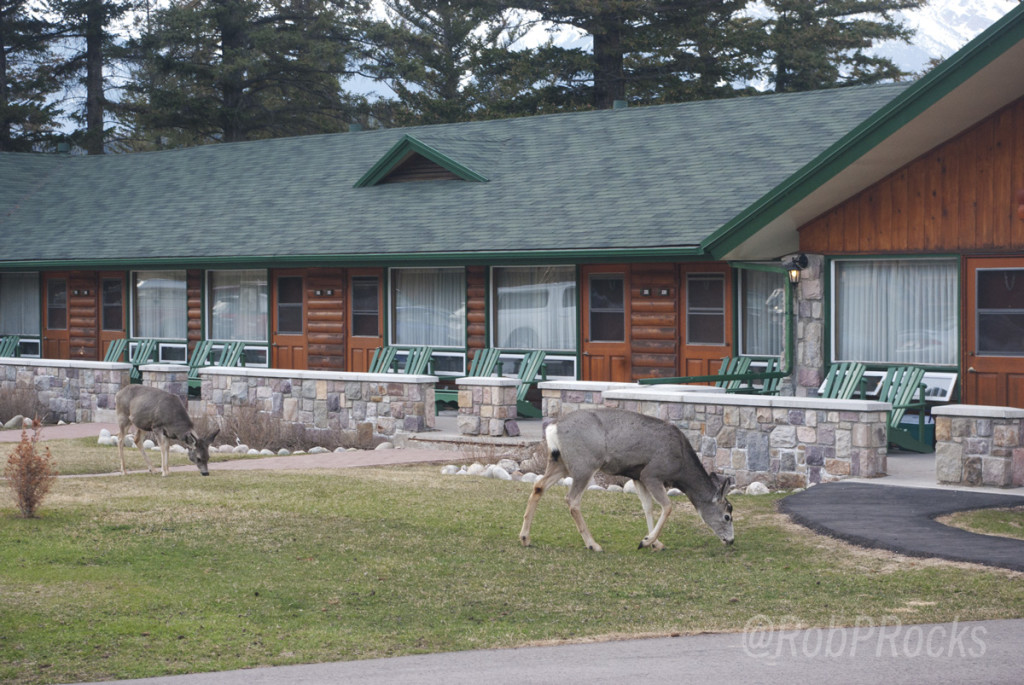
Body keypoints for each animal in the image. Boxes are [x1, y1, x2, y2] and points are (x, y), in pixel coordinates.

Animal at [524, 405, 733, 548]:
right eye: (727, 516)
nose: (731, 540)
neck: (681, 466)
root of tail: (553, 427)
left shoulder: (637, 475)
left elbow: (647, 507)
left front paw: (655, 542)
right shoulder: (652, 473)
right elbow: (667, 506)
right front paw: (646, 541)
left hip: (559, 462)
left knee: (539, 486)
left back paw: (525, 538)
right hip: (585, 464)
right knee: (572, 499)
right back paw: (593, 544)